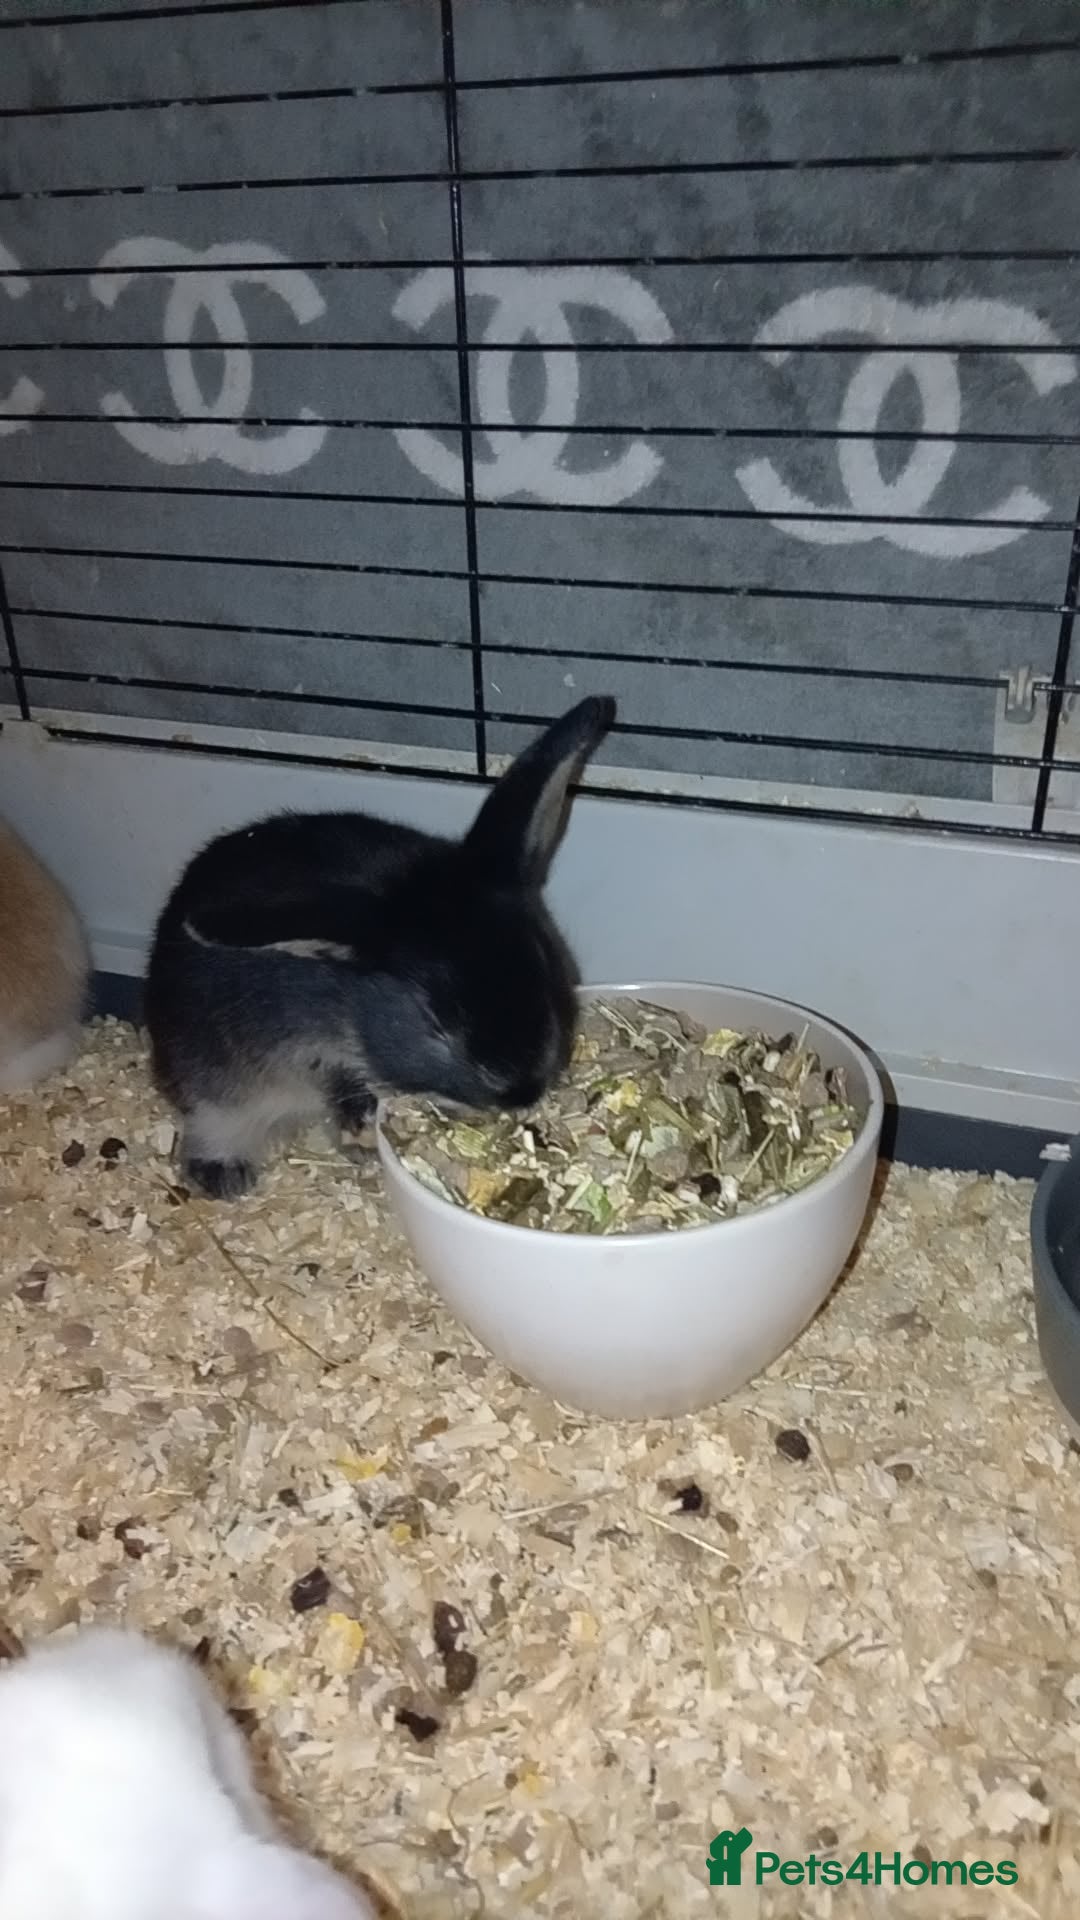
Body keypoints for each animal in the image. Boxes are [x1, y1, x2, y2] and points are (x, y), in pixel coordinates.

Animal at [144, 694, 615, 1200]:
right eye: (436, 1023)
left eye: (544, 966)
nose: (522, 1092)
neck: (346, 1009)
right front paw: (363, 1124)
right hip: (209, 1078)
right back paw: (226, 1176)